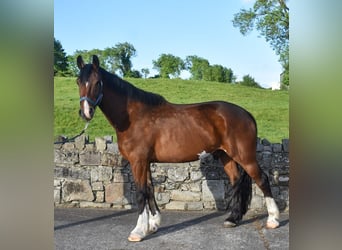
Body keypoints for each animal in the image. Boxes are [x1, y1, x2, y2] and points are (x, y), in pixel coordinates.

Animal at [76, 55, 280, 242]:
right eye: (78, 81)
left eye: (97, 82)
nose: (86, 113)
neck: (133, 117)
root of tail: (247, 114)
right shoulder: (145, 162)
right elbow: (149, 190)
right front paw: (153, 225)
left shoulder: (138, 161)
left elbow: (141, 193)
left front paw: (138, 231)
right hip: (226, 156)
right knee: (236, 180)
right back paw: (233, 219)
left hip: (245, 156)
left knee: (262, 179)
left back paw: (273, 220)